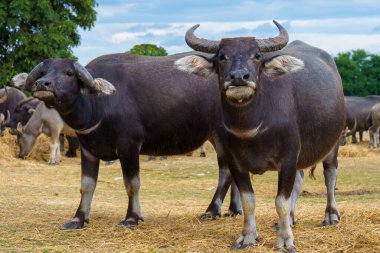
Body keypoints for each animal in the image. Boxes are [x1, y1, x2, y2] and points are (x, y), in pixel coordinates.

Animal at [177, 20, 346, 252]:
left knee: (330, 174)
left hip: (333, 143)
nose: (239, 77)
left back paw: (330, 215)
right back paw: (290, 219)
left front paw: (285, 240)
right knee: (299, 180)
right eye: (221, 56)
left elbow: (280, 201)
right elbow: (249, 200)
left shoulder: (287, 159)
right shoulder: (235, 162)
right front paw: (247, 236)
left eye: (256, 55)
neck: (251, 128)